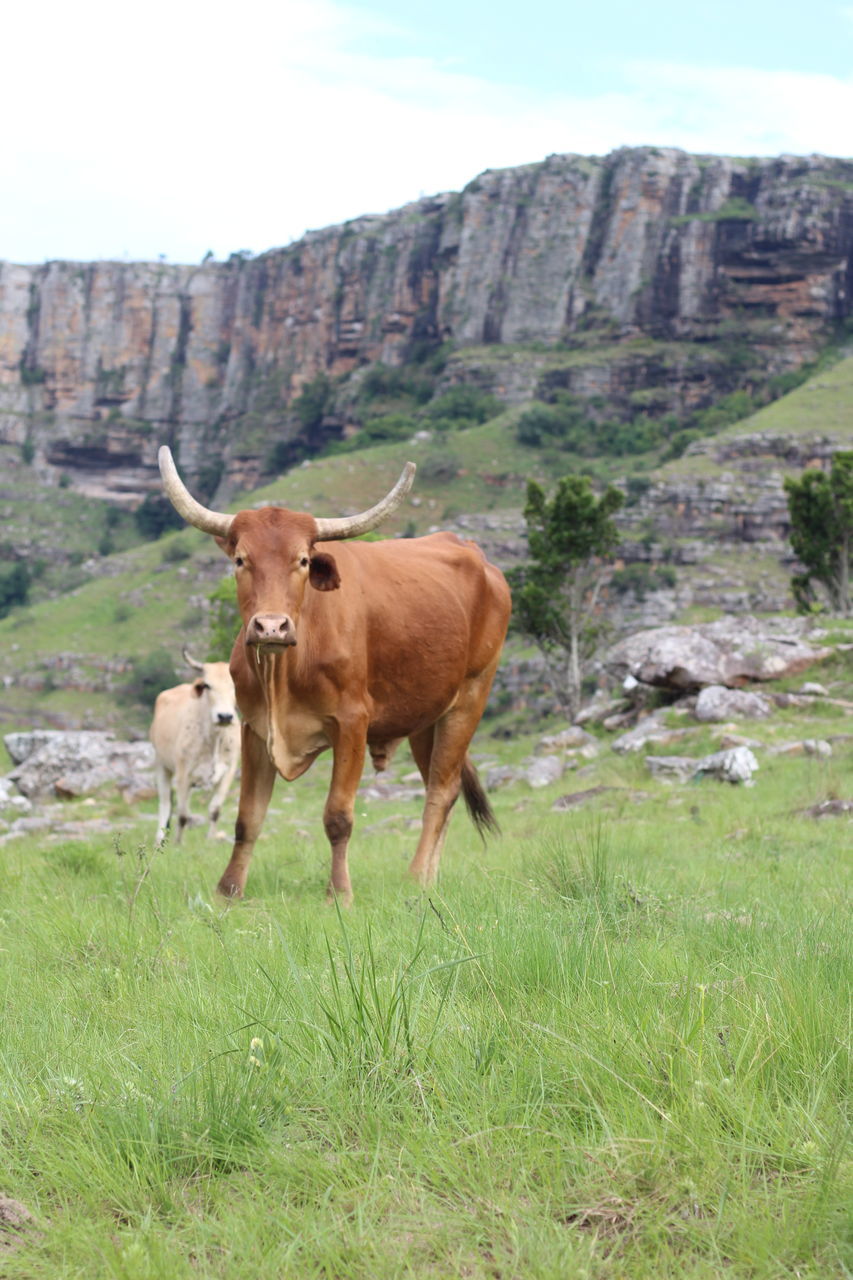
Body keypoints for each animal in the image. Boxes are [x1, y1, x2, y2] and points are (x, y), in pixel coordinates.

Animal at [148, 650, 239, 839]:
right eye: (207, 685)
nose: (225, 716)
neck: (214, 739)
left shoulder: (229, 771)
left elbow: (214, 810)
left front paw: (211, 840)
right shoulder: (183, 773)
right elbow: (182, 815)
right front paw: (177, 843)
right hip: (162, 765)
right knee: (165, 805)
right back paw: (159, 840)